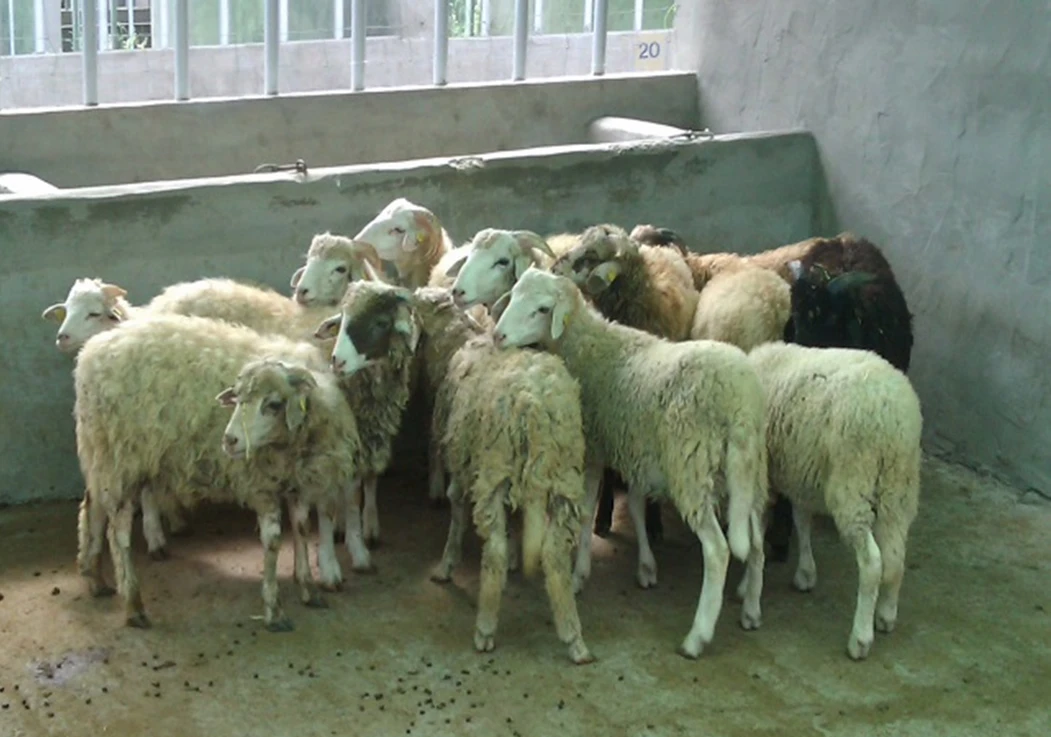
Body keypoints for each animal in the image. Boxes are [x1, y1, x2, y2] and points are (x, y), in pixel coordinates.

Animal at [74, 313, 358, 630]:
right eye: (237, 400)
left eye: (273, 404)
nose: (229, 440)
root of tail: (90, 353)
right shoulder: (262, 485)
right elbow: (273, 541)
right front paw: (274, 609)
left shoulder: (294, 481)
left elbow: (301, 529)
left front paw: (308, 588)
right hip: (122, 459)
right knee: (119, 533)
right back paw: (134, 605)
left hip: (101, 455)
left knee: (93, 508)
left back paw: (95, 578)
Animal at [428, 333, 593, 664]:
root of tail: (534, 408)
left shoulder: (460, 462)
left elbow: (456, 509)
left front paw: (446, 565)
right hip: (564, 478)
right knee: (554, 554)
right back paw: (573, 637)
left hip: (495, 468)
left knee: (494, 552)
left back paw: (485, 628)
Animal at [491, 267, 769, 658]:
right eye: (514, 293)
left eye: (543, 309)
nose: (498, 336)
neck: (589, 346)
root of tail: (741, 401)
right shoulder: (638, 450)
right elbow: (636, 506)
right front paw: (646, 566)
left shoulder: (593, 449)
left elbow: (588, 510)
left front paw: (579, 574)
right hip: (746, 471)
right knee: (756, 539)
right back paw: (751, 609)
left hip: (692, 466)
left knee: (718, 550)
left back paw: (697, 637)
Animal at [745, 341, 922, 660]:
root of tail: (893, 416)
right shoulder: (800, 471)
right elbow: (802, 520)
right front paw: (805, 573)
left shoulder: (767, 475)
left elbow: (764, 527)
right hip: (899, 490)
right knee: (895, 558)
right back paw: (886, 615)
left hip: (853, 485)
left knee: (872, 564)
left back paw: (860, 638)